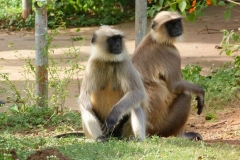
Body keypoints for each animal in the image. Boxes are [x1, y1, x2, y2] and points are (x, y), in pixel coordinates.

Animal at [130, 10, 205, 140]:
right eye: (170, 24)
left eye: (177, 22)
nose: (177, 27)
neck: (156, 39)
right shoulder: (172, 53)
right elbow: (175, 85)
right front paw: (200, 92)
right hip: (163, 127)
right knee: (185, 95)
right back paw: (182, 136)